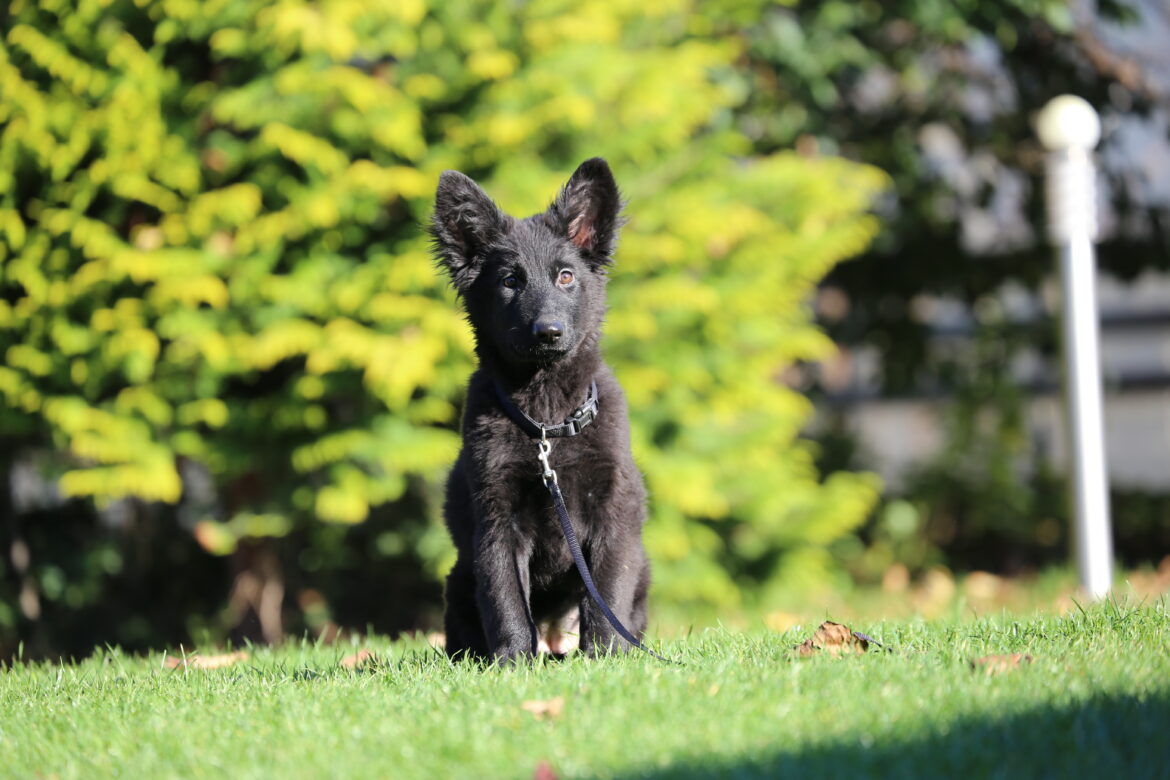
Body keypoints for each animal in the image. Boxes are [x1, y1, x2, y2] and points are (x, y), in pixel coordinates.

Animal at [431, 158, 650, 663]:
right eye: (510, 281)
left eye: (566, 276)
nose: (548, 332)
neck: (549, 422)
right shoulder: (497, 521)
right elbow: (506, 599)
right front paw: (512, 663)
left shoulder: (613, 516)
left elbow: (606, 594)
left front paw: (607, 658)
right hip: (459, 579)